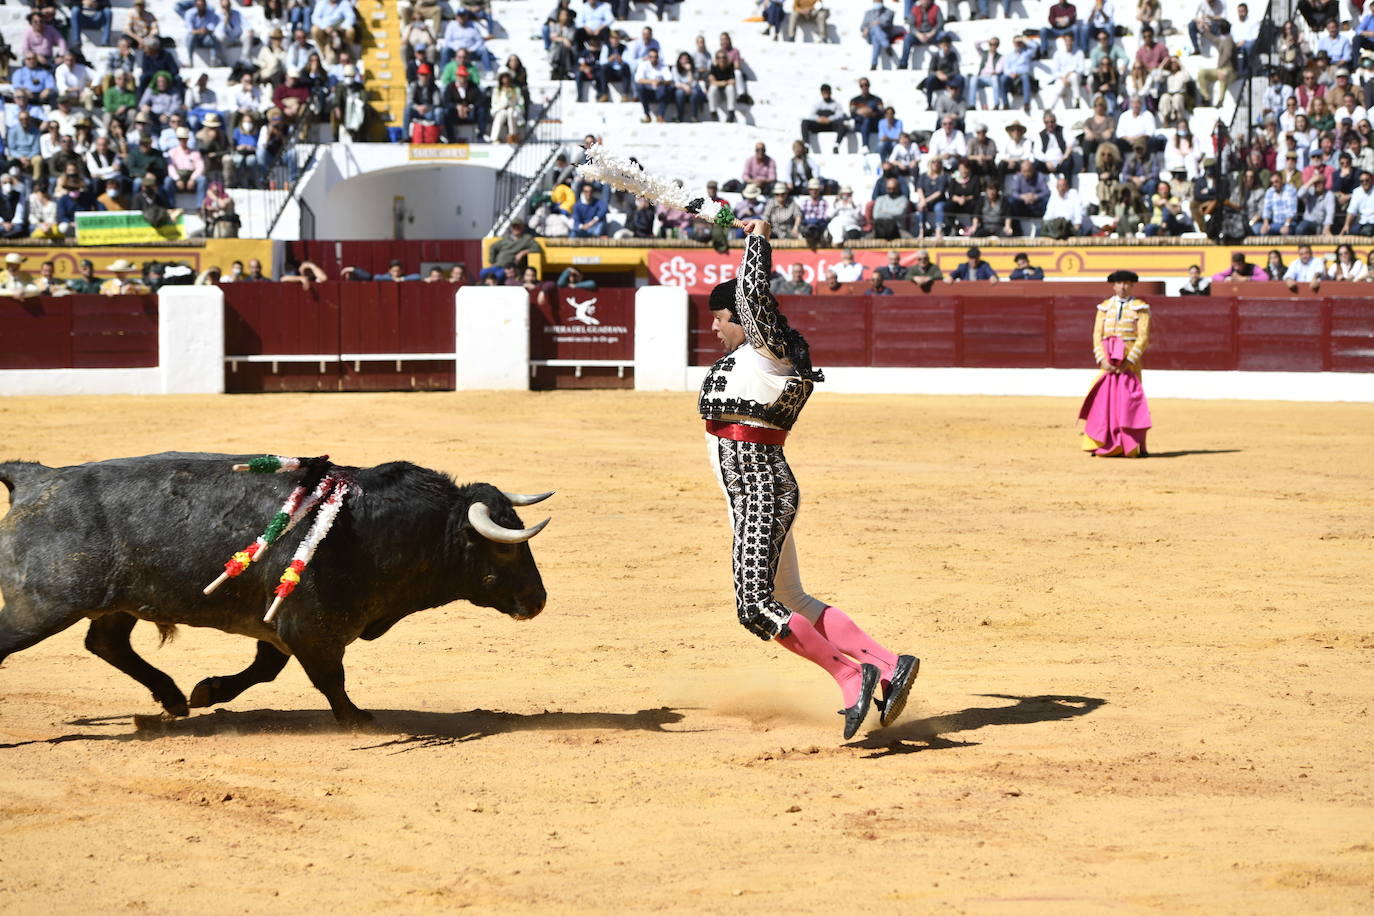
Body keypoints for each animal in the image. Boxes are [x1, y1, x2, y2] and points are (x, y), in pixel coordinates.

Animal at [0, 455, 546, 725]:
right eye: (504, 550)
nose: (538, 601)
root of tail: (37, 478)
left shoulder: (282, 625)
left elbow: (266, 667)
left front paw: (207, 691)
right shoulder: (310, 626)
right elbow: (329, 677)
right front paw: (357, 718)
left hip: (115, 602)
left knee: (107, 642)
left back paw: (174, 700)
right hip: (41, 606)